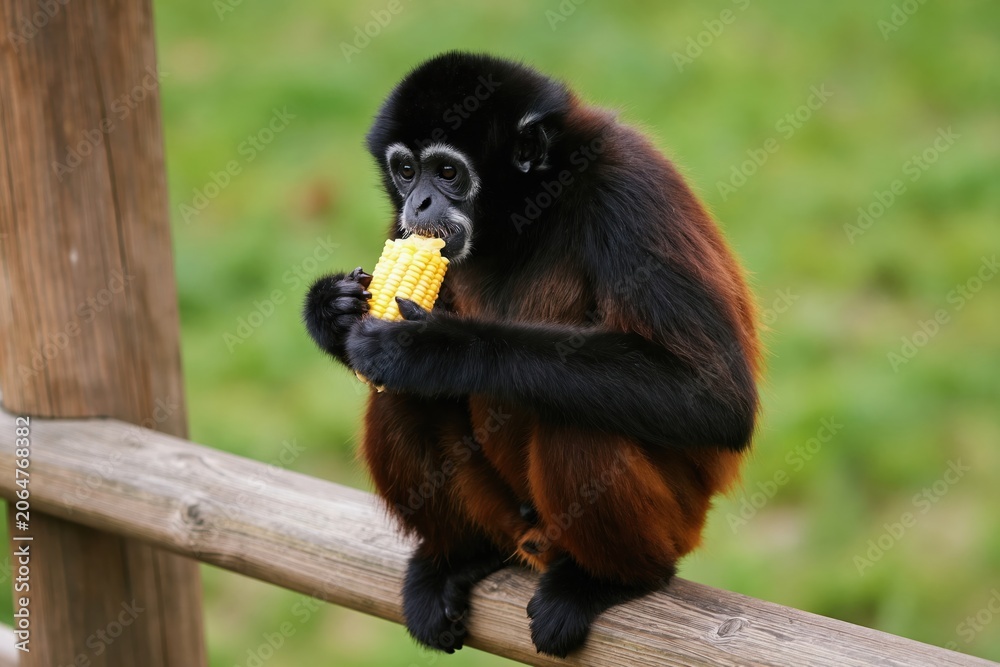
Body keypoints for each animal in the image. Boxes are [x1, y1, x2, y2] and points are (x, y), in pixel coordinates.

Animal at [304, 52, 761, 658]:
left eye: (446, 173)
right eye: (405, 171)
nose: (417, 201)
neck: (533, 212)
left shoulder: (627, 187)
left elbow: (715, 398)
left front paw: (434, 349)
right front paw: (331, 311)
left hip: (676, 519)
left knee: (579, 420)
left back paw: (607, 582)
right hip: (500, 511)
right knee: (401, 401)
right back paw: (461, 558)